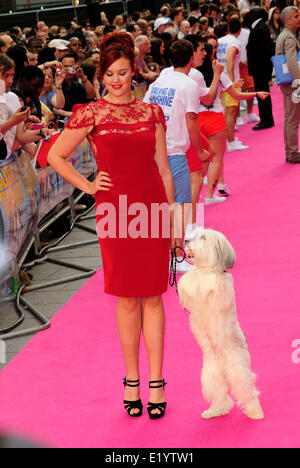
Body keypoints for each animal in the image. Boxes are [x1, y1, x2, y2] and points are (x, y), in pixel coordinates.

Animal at [178, 228, 262, 420]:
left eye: (203, 237)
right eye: (193, 235)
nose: (186, 241)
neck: (204, 271)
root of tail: (224, 369)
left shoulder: (222, 291)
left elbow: (214, 284)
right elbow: (187, 281)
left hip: (238, 370)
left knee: (247, 391)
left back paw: (255, 412)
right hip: (210, 377)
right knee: (221, 397)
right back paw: (214, 411)